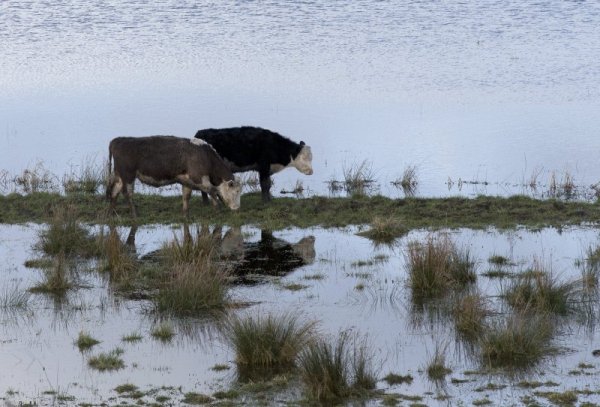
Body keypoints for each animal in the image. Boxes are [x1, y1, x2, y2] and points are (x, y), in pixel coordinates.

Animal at [106, 135, 240, 218]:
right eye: (236, 191)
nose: (237, 208)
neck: (205, 156)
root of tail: (118, 140)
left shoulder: (187, 181)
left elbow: (186, 196)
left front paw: (185, 214)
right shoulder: (199, 178)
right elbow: (212, 191)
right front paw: (218, 209)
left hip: (119, 176)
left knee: (114, 192)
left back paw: (111, 213)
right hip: (128, 176)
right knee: (127, 193)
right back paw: (134, 214)